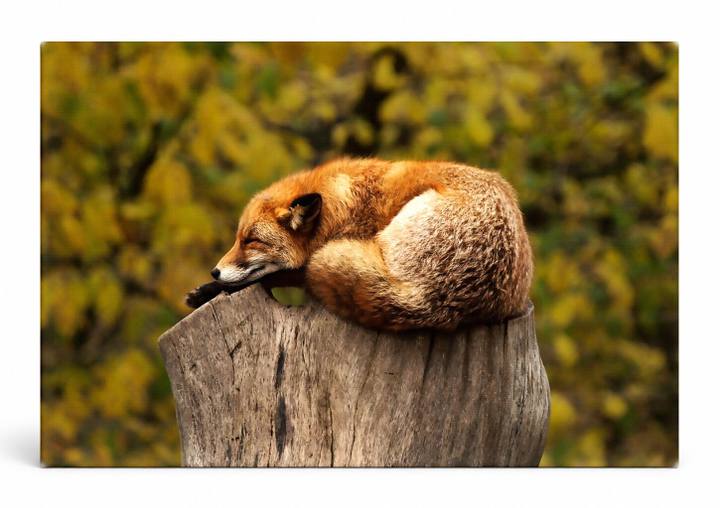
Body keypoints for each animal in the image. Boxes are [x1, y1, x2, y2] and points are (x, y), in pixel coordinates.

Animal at [186, 157, 533, 332]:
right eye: (238, 238)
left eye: (251, 241)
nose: (215, 271)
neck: (343, 206)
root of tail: (434, 301)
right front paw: (206, 289)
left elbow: (281, 274)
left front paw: (211, 289)